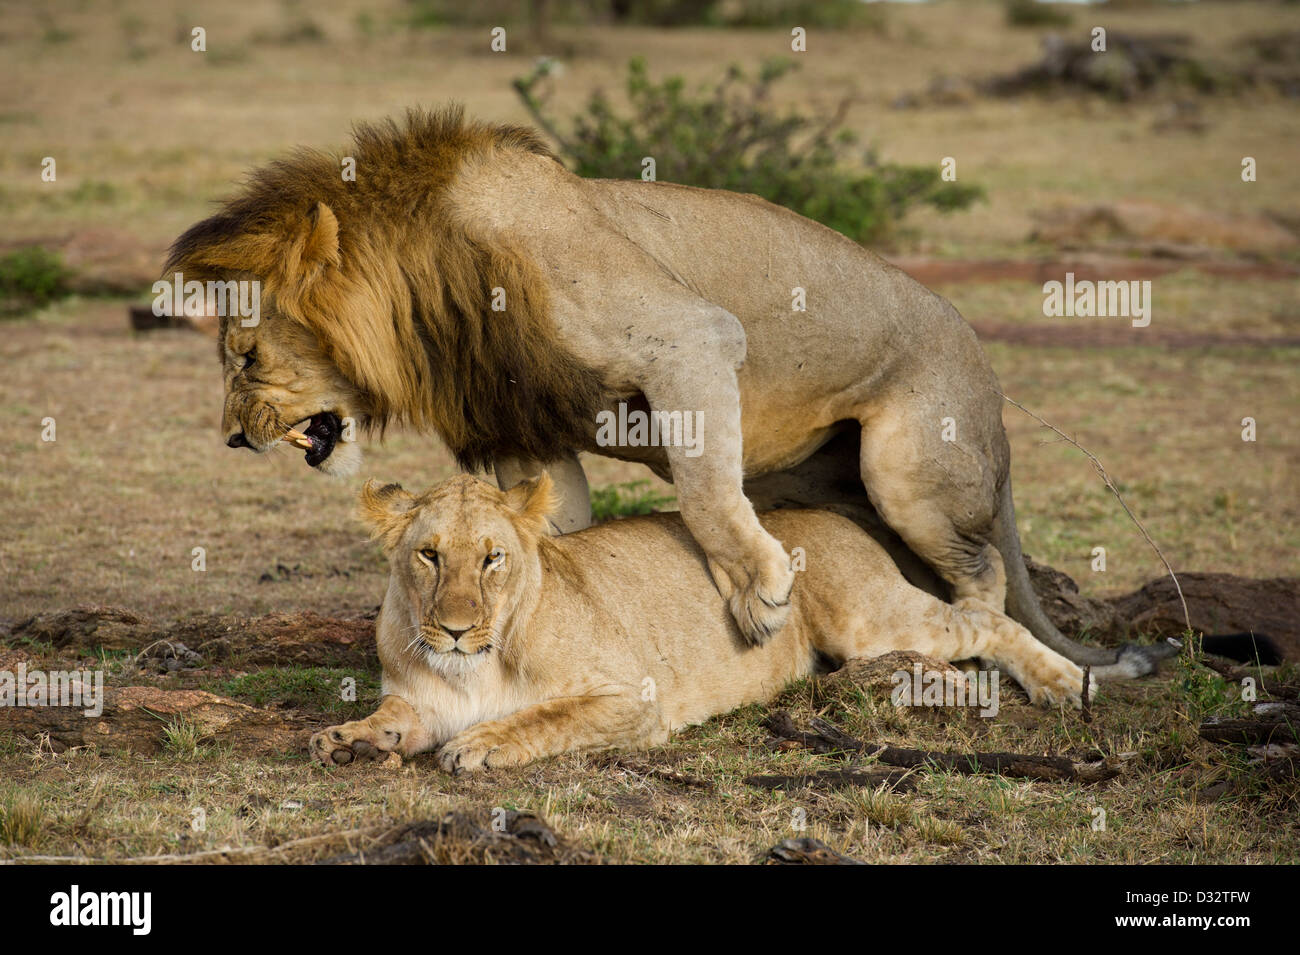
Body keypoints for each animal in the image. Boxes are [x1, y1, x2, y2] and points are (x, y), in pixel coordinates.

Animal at [165, 104, 1170, 675]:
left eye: (245, 357)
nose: (232, 436)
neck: (431, 286)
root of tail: (989, 378)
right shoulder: (520, 431)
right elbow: (551, 536)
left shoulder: (691, 336)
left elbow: (704, 490)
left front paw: (760, 594)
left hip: (909, 466)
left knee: (984, 569)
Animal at [309, 475, 1092, 774]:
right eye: (429, 555)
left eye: (492, 558)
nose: (453, 630)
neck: (473, 664)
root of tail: (829, 513)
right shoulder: (418, 700)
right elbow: (392, 718)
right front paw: (345, 738)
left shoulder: (633, 698)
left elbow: (541, 717)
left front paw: (480, 743)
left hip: (869, 618)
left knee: (982, 616)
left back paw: (1066, 682)